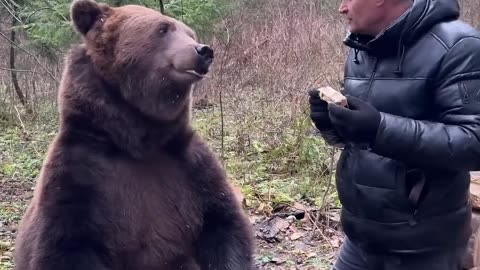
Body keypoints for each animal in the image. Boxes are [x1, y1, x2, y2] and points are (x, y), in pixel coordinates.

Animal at [13, 0, 256, 270]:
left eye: (190, 33)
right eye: (163, 28)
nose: (204, 50)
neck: (137, 141)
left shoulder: (190, 165)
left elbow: (223, 223)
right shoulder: (79, 172)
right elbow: (66, 246)